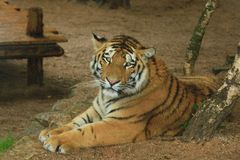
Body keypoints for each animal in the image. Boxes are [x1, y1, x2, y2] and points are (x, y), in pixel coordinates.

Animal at [38, 33, 218, 154]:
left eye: (128, 64)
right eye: (107, 59)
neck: (106, 97)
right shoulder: (96, 110)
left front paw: (56, 140)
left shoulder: (122, 123)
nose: (111, 81)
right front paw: (50, 131)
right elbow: (75, 122)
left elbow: (87, 130)